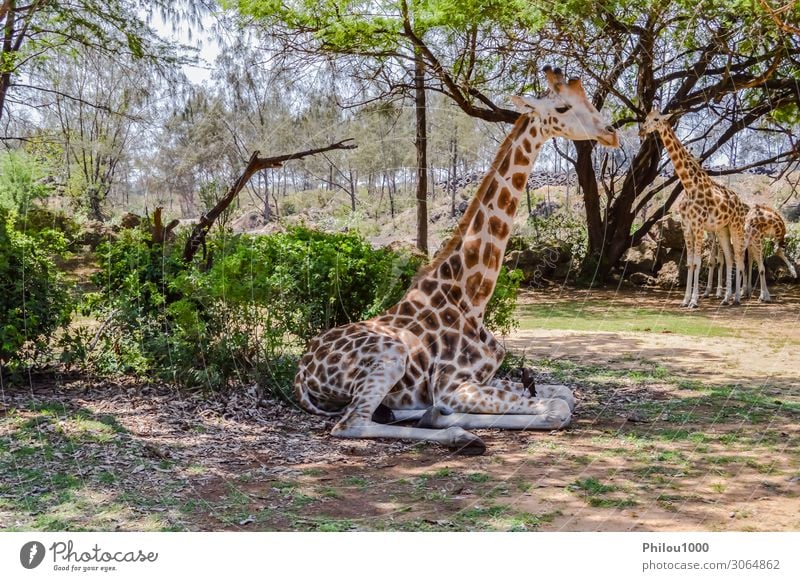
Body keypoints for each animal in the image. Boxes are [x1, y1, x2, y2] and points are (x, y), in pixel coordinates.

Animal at [294, 64, 620, 454]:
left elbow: (565, 393)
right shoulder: (453, 384)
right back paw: (459, 435)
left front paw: (438, 414)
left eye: (588, 101)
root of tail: (301, 373)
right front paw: (450, 421)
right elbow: (557, 407)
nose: (611, 133)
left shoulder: (484, 378)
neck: (470, 299)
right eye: (562, 108)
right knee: (351, 423)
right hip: (389, 355)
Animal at [640, 110, 748, 308]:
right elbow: (690, 263)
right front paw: (685, 300)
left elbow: (698, 262)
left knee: (738, 258)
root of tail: (738, 200)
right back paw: (726, 298)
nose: (642, 131)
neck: (688, 185)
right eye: (645, 118)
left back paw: (737, 298)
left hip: (736, 227)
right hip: (722, 229)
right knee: (729, 259)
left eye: (656, 119)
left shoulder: (698, 226)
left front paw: (694, 301)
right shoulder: (686, 226)